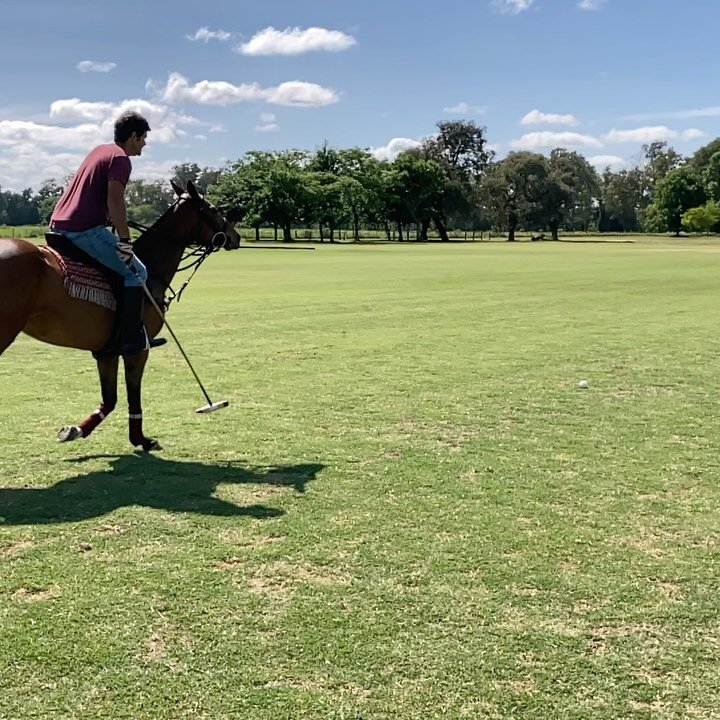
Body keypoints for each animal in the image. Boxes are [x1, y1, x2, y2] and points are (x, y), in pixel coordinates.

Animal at [0, 180, 242, 450]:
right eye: (212, 209)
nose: (236, 236)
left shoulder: (107, 351)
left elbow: (110, 399)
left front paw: (75, 430)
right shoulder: (138, 349)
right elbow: (133, 395)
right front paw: (141, 439)